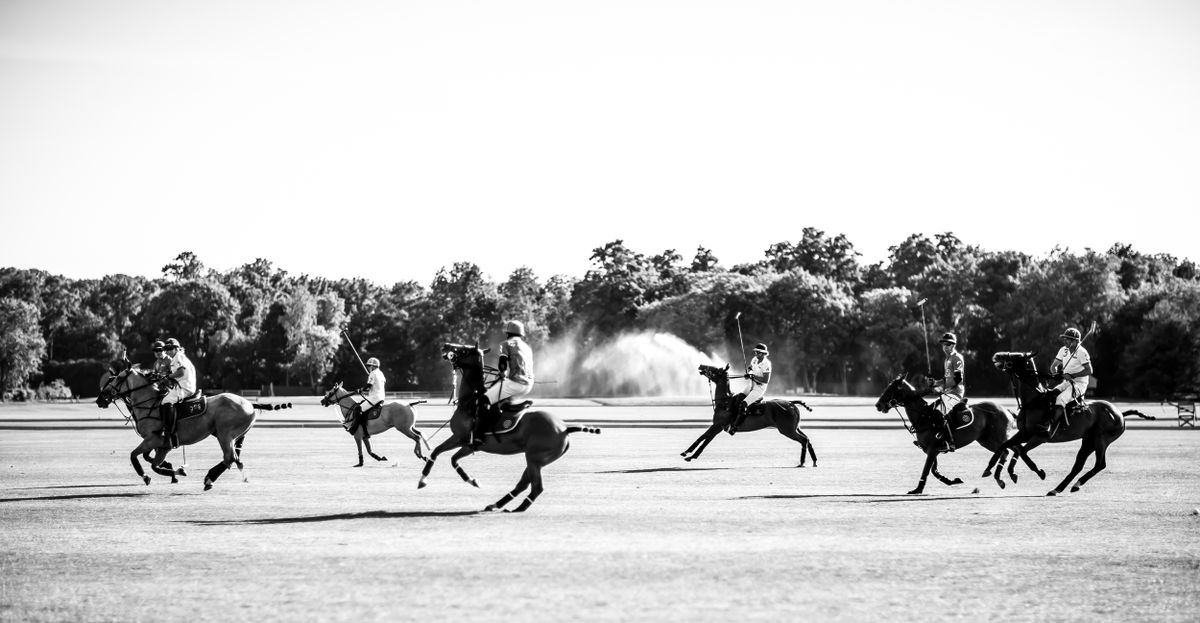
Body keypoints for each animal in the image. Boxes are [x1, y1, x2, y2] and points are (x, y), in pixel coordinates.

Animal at [94, 364, 274, 492]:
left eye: (118, 378)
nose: (100, 399)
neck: (149, 403)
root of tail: (250, 404)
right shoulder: (162, 444)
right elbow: (153, 463)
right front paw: (177, 471)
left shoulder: (153, 439)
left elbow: (135, 457)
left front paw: (148, 477)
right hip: (224, 434)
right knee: (234, 458)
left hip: (225, 434)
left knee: (229, 457)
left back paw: (209, 479)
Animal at [681, 364, 820, 468]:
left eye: (717, 369)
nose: (701, 366)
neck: (725, 402)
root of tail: (791, 403)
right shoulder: (717, 426)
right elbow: (704, 439)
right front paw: (689, 454)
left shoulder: (718, 426)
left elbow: (704, 439)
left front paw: (689, 454)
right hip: (795, 427)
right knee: (807, 439)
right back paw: (813, 461)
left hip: (787, 430)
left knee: (803, 440)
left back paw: (802, 462)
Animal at [868, 374, 1017, 496]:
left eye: (892, 389)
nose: (878, 405)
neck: (923, 417)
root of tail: (1006, 410)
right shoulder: (931, 450)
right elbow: (934, 470)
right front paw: (952, 481)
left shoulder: (933, 449)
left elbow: (927, 469)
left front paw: (918, 489)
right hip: (986, 440)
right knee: (1010, 450)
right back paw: (1001, 475)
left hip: (995, 439)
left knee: (1006, 451)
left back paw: (999, 477)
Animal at [984, 355, 1152, 496]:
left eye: (1016, 356)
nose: (996, 356)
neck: (1034, 401)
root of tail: (1120, 414)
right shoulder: (1024, 434)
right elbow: (1006, 445)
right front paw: (992, 472)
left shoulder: (1041, 437)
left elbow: (1021, 451)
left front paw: (1021, 473)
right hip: (1088, 441)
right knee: (1078, 465)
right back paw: (1058, 488)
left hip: (1101, 439)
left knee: (1100, 464)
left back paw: (1075, 485)